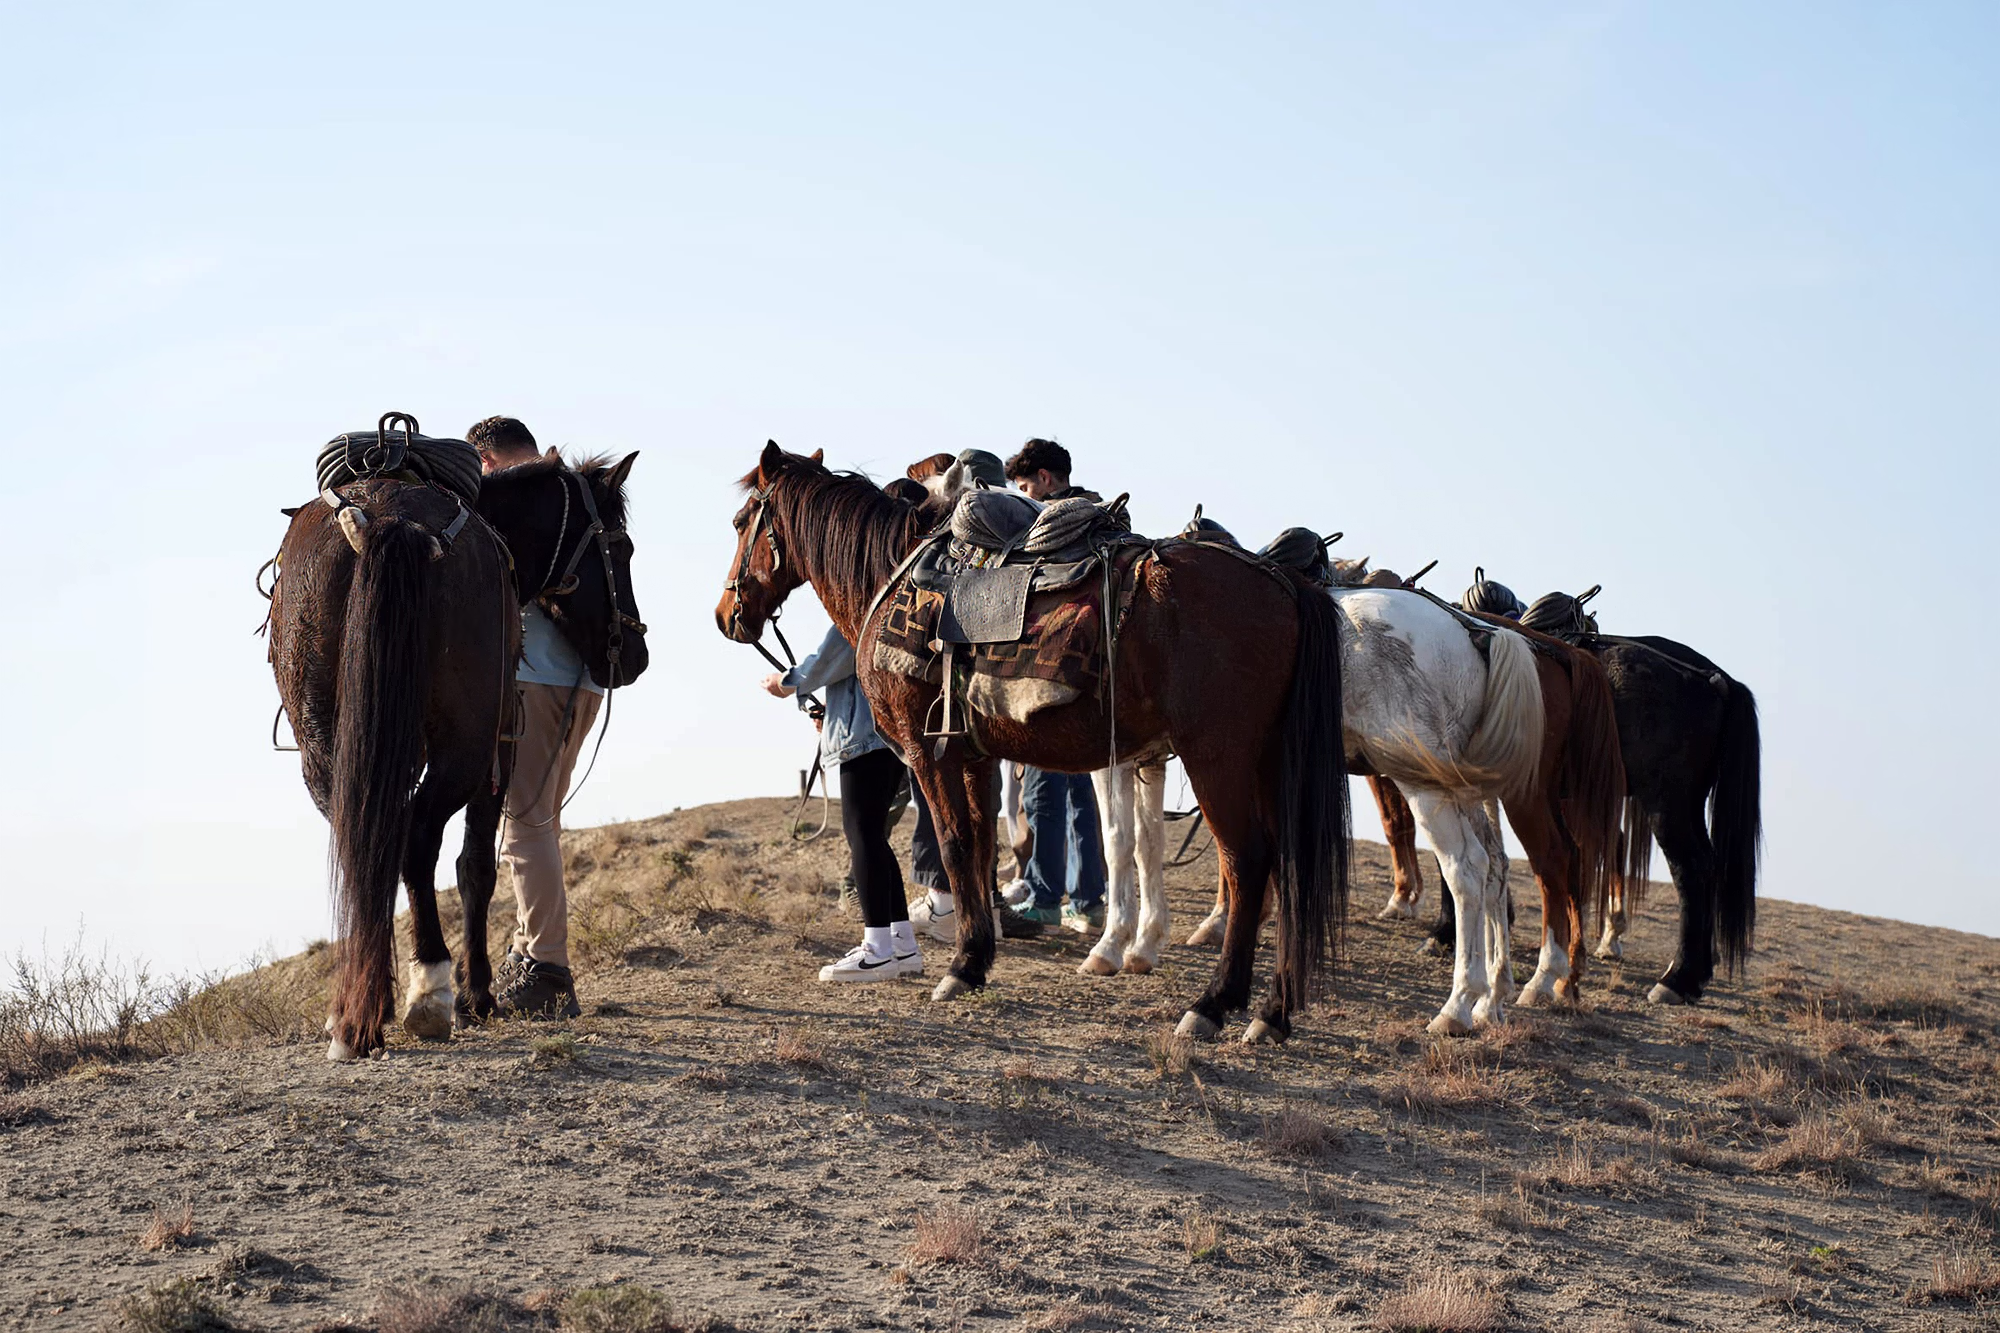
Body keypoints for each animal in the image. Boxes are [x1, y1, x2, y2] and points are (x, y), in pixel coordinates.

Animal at [716, 443, 1350, 1043]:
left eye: (742, 520)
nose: (727, 614)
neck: (893, 573)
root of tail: (1288, 586)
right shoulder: (973, 756)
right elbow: (978, 847)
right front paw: (976, 959)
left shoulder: (927, 753)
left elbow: (951, 846)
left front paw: (959, 966)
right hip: (1268, 762)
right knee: (1289, 867)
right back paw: (1273, 1012)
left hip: (1218, 759)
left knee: (1248, 862)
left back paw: (1214, 1004)